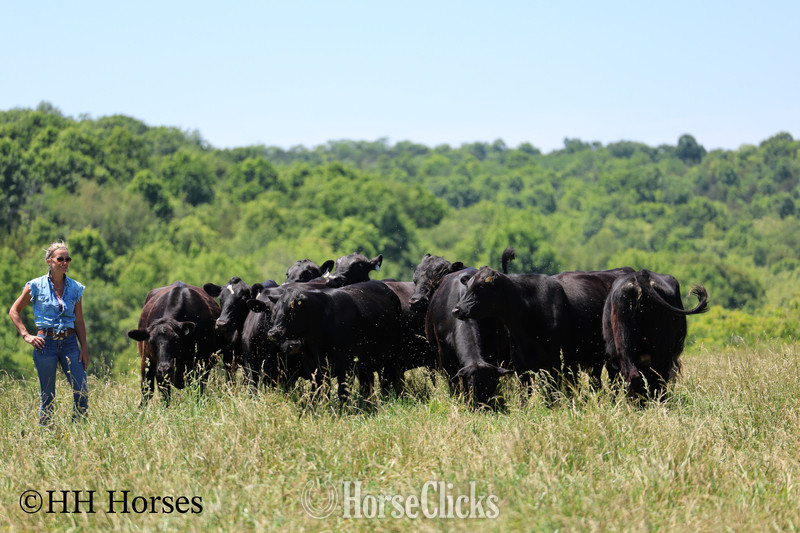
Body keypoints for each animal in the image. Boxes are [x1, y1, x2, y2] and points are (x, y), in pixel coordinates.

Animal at [261, 280, 404, 403]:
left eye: (291, 311)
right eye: (275, 312)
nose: (272, 333)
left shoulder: (345, 367)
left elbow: (343, 393)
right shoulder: (315, 369)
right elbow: (319, 393)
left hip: (392, 356)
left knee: (387, 381)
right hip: (364, 364)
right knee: (367, 384)